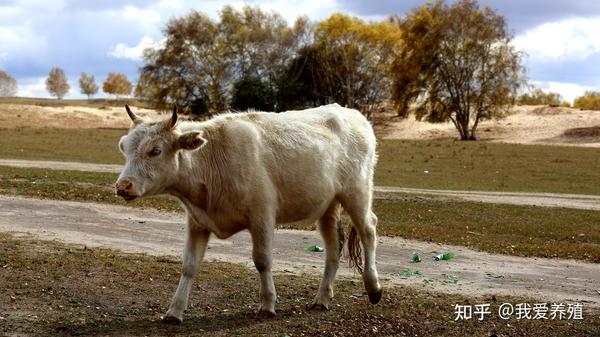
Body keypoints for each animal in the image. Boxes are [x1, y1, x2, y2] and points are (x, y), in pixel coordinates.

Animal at [115, 103, 382, 322]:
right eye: (125, 149)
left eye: (155, 151)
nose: (122, 186)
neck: (212, 159)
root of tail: (352, 114)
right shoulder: (197, 222)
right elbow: (189, 265)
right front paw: (175, 311)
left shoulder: (262, 216)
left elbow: (262, 260)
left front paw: (267, 305)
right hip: (327, 205)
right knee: (333, 248)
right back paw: (322, 299)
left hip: (357, 192)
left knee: (368, 230)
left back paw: (374, 288)